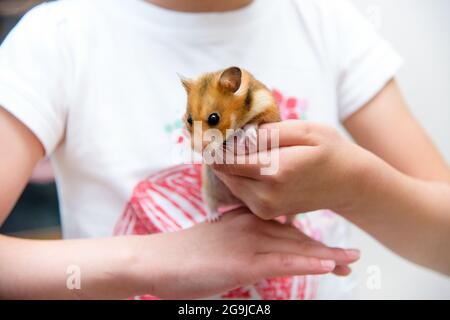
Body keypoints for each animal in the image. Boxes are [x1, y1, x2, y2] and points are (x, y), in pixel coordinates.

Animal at [181, 66, 284, 221]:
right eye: (189, 120)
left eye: (214, 118)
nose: (199, 149)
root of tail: (235, 202)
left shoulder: (269, 108)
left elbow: (254, 122)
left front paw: (246, 138)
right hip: (208, 191)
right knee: (211, 204)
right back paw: (213, 218)